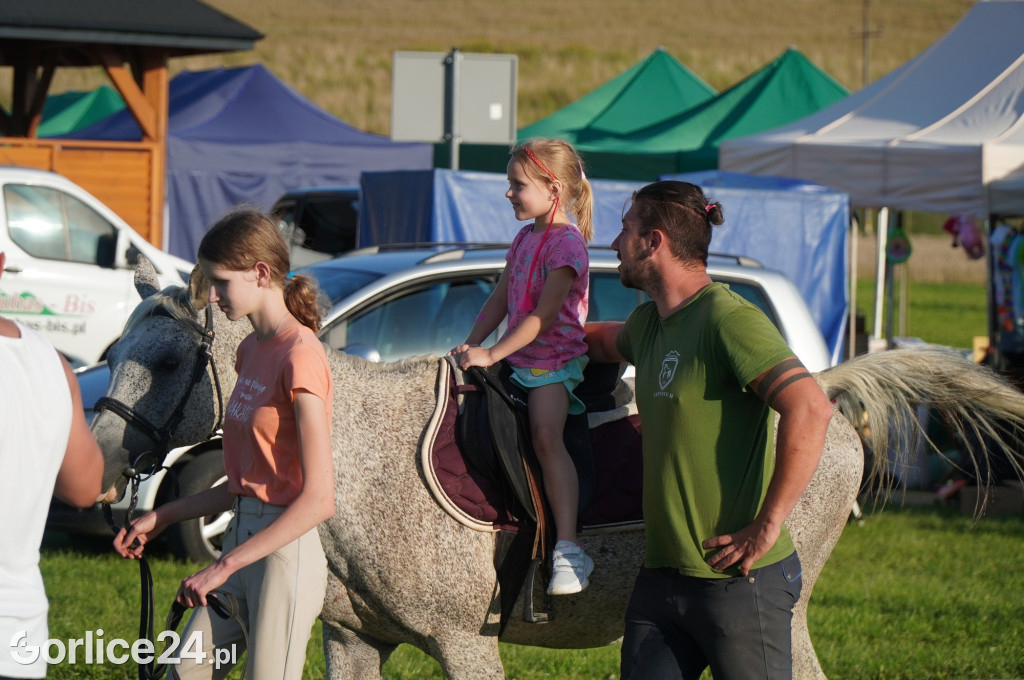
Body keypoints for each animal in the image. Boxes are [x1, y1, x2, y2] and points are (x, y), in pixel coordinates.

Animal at [92, 258, 1024, 675]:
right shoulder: (355, 640)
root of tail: (818, 389)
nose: (99, 460)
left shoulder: (463, 644)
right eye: (114, 350)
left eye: (166, 362)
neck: (354, 455)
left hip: (777, 613)